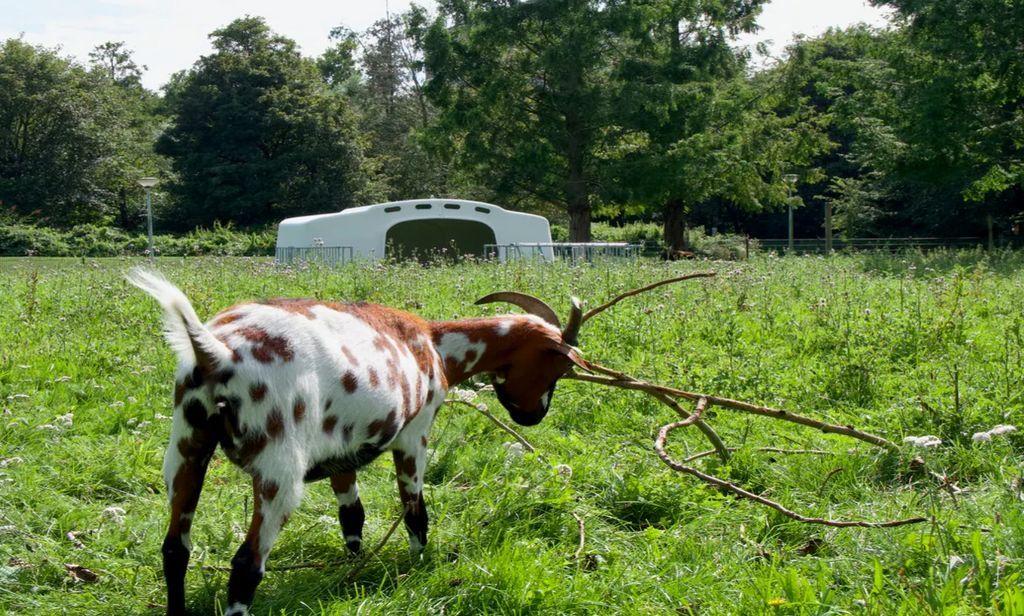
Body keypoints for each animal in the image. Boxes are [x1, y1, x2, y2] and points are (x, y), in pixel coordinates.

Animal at [128, 270, 589, 613]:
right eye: (557, 367)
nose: (533, 416)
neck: (434, 344)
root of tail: (217, 351)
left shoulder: (341, 453)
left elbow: (352, 515)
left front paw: (351, 572)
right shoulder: (414, 435)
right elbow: (415, 511)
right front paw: (417, 566)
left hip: (186, 448)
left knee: (175, 549)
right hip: (279, 470)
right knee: (246, 565)